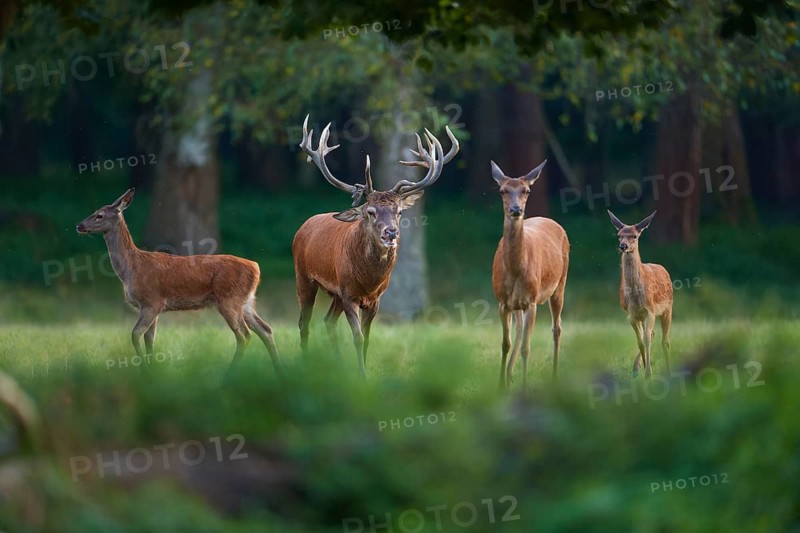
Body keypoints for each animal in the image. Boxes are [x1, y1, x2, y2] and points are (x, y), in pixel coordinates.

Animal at [75, 188, 282, 382]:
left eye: (99, 215)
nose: (79, 225)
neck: (131, 269)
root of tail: (255, 268)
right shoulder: (154, 307)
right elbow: (149, 338)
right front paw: (152, 372)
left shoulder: (151, 301)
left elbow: (135, 334)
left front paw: (144, 373)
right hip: (246, 301)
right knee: (265, 329)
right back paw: (279, 371)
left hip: (229, 299)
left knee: (244, 335)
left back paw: (227, 377)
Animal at [293, 114, 459, 376]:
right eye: (370, 212)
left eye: (399, 211)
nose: (391, 232)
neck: (368, 280)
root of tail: (304, 225)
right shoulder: (349, 294)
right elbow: (358, 337)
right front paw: (362, 375)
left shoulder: (374, 299)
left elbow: (368, 338)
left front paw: (364, 372)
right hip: (304, 276)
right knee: (303, 322)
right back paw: (307, 365)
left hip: (335, 294)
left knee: (328, 321)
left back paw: (336, 366)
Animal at [491, 159, 570, 390]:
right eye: (502, 190)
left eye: (526, 190)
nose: (516, 209)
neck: (515, 270)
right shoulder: (502, 302)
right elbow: (505, 343)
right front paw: (500, 384)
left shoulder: (532, 301)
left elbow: (527, 347)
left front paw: (524, 387)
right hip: (516, 303)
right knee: (518, 331)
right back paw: (509, 376)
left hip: (560, 284)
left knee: (556, 328)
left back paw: (554, 376)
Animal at [607, 210, 673, 379]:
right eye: (619, 235)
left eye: (635, 236)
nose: (623, 246)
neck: (636, 297)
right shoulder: (632, 315)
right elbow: (640, 342)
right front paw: (641, 369)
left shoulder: (651, 310)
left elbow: (647, 340)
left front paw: (649, 373)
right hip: (643, 316)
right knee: (652, 334)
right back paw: (637, 367)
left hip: (668, 307)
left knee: (665, 340)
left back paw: (668, 371)